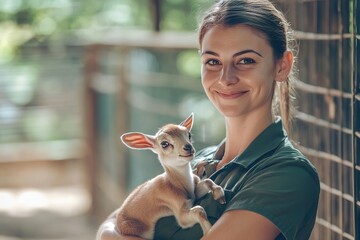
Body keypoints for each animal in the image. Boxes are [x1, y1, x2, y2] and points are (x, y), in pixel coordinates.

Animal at [95, 114, 225, 240]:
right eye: (164, 144)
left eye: (188, 135)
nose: (188, 147)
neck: (179, 185)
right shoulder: (180, 213)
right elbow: (199, 210)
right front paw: (209, 229)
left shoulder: (194, 194)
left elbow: (207, 181)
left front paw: (219, 195)